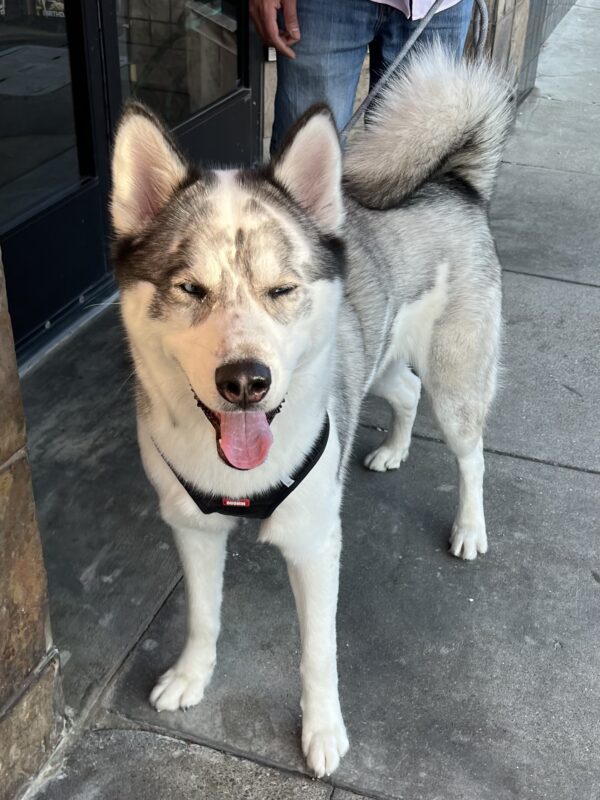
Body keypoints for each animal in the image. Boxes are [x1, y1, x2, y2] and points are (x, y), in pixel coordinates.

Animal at [111, 42, 510, 776]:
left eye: (281, 289)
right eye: (191, 288)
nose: (246, 381)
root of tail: (453, 183)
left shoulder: (315, 543)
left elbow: (318, 652)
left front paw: (323, 730)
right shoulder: (192, 528)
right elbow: (203, 616)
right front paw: (191, 675)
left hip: (457, 379)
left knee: (469, 454)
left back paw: (469, 527)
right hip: (378, 360)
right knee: (404, 392)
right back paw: (393, 449)